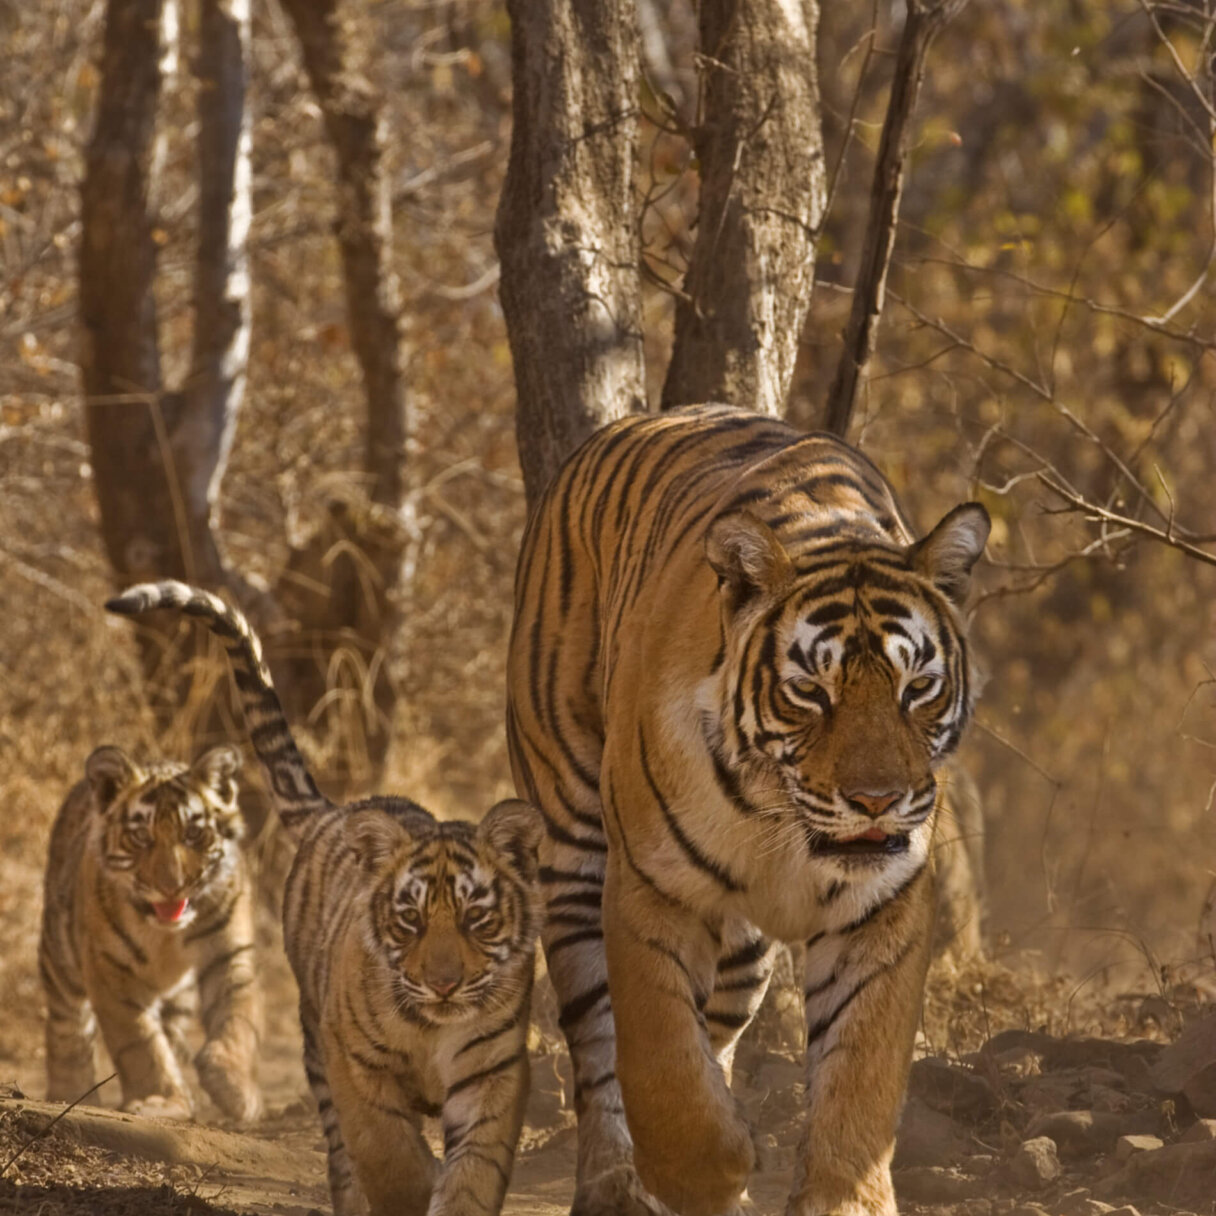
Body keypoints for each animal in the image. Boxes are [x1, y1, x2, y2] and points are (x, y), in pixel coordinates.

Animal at [39, 744, 263, 1122]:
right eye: (142, 837)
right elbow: (139, 1043)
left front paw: (235, 1090)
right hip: (61, 957)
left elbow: (238, 1017)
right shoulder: (109, 968)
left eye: (192, 834)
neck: (167, 936)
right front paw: (160, 1100)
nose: (171, 887)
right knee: (67, 1027)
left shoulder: (229, 952)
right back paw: (69, 1092)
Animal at [106, 581, 544, 1216]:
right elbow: (389, 1157)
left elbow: (473, 1174)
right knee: (340, 1152)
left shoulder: (493, 1073)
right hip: (315, 1043)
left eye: (475, 919)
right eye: (410, 920)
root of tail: (336, 811)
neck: (433, 1029)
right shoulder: (356, 1068)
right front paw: (415, 1185)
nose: (443, 985)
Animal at [506, 404, 991, 1216]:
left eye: (916, 687)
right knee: (598, 1044)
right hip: (571, 839)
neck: (780, 824)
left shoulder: (881, 909)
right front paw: (714, 1168)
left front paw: (843, 1199)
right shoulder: (652, 888)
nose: (878, 801)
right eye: (812, 691)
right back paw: (613, 1182)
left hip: (741, 954)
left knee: (719, 1028)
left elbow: (861, 1077)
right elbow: (662, 1065)